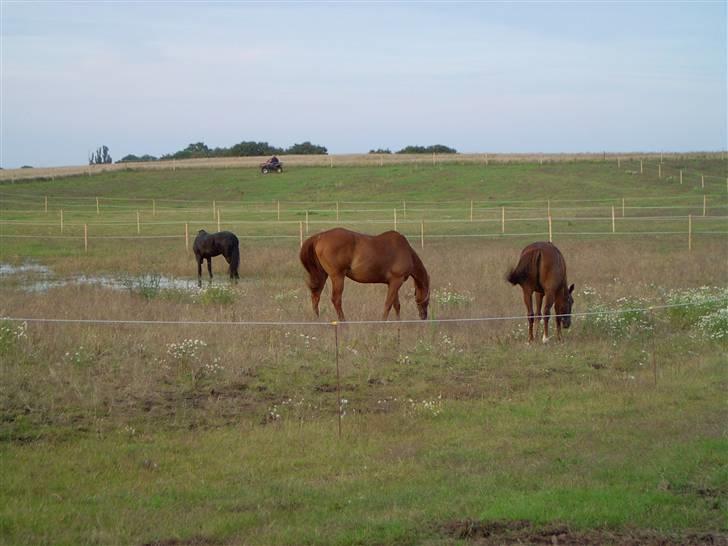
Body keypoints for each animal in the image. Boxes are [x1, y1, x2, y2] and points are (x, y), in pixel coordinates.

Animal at [298, 225, 430, 318]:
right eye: (428, 300)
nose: (424, 317)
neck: (405, 251)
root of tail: (319, 237)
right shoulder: (396, 281)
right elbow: (388, 304)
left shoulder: (392, 283)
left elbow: (396, 305)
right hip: (337, 277)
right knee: (336, 299)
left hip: (322, 275)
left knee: (316, 296)